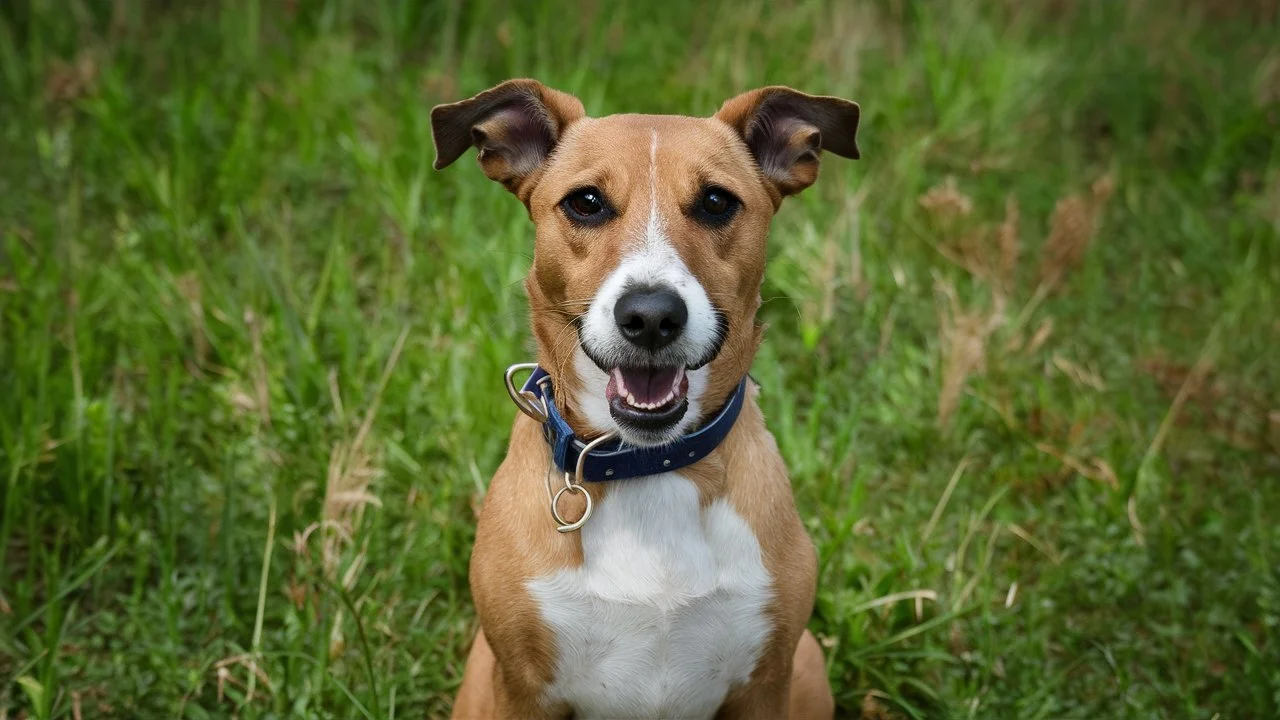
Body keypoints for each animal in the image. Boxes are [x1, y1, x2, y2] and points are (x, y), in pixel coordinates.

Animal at [430, 78, 860, 717]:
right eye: (586, 202)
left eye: (716, 202)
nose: (651, 316)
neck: (648, 466)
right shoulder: (520, 690)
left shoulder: (765, 687)